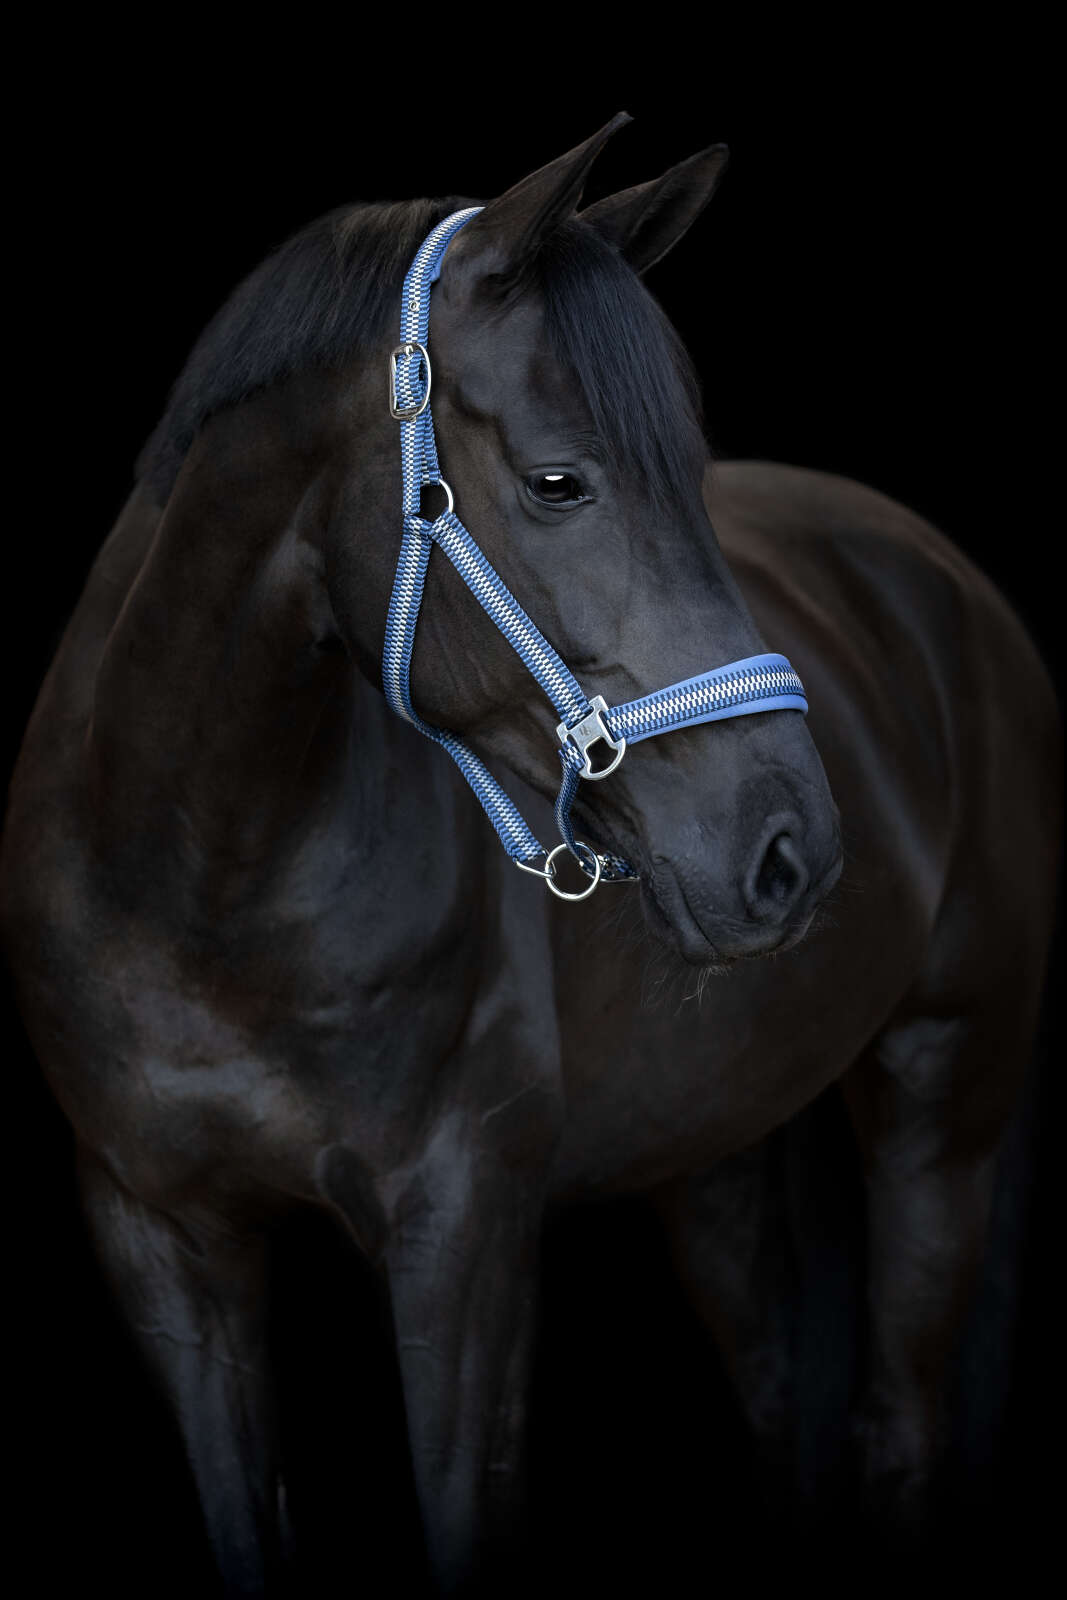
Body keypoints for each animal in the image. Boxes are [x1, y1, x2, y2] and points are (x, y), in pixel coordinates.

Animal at [0, 113, 1058, 1595]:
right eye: (560, 480)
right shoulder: (162, 1240)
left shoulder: (464, 1236)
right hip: (715, 1135)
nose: (786, 849)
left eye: (690, 471)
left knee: (895, 1427)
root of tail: (944, 585)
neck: (201, 891)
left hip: (941, 1089)